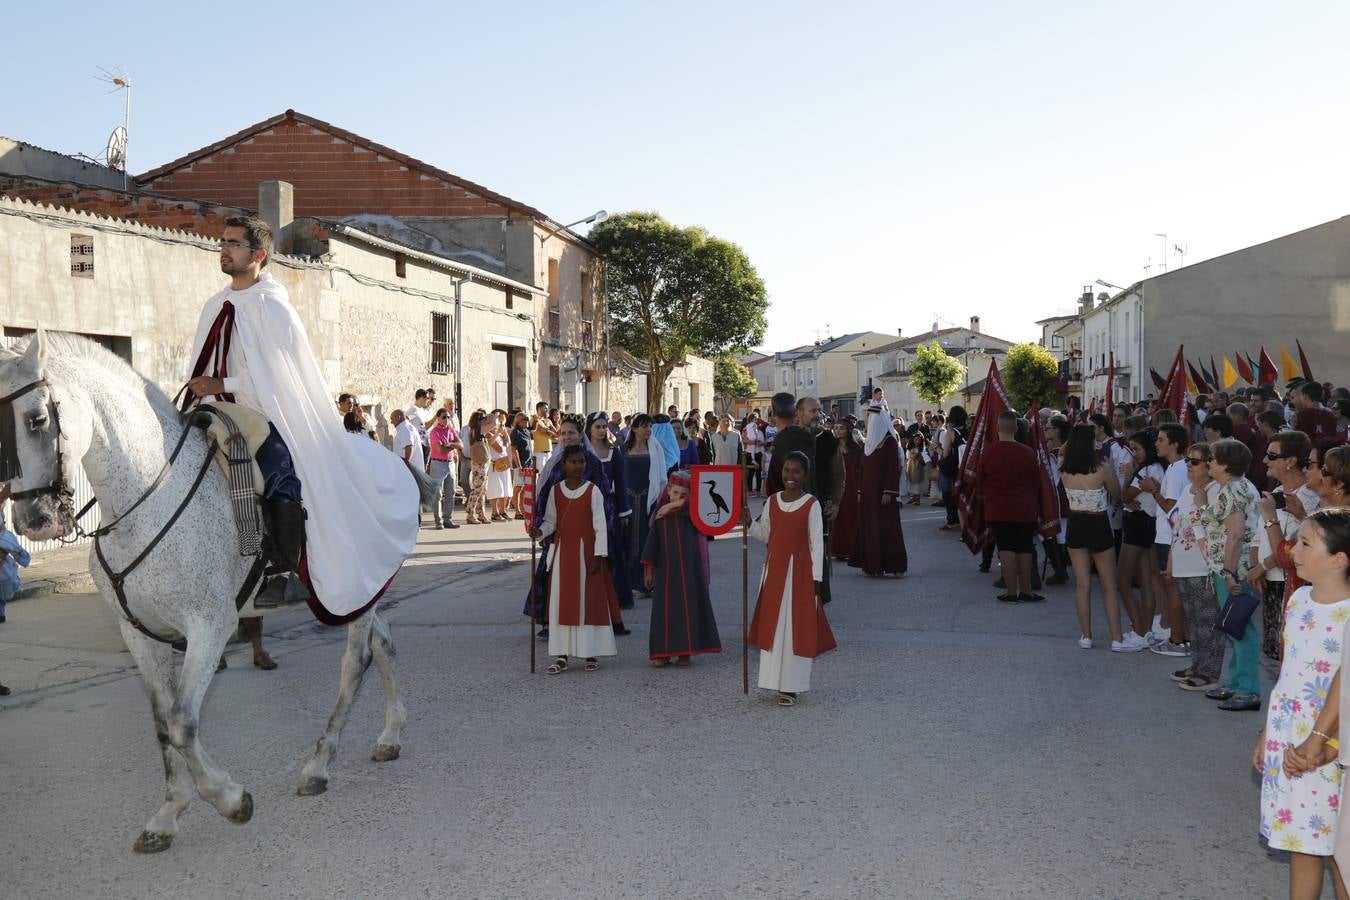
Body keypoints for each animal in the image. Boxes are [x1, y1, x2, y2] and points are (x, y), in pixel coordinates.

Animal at [1, 330, 432, 852]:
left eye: (37, 418)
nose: (33, 520)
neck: (147, 495)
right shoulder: (138, 633)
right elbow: (162, 723)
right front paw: (168, 814)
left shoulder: (210, 626)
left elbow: (183, 723)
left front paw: (229, 798)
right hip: (359, 589)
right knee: (384, 644)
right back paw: (390, 735)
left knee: (357, 661)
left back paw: (318, 764)